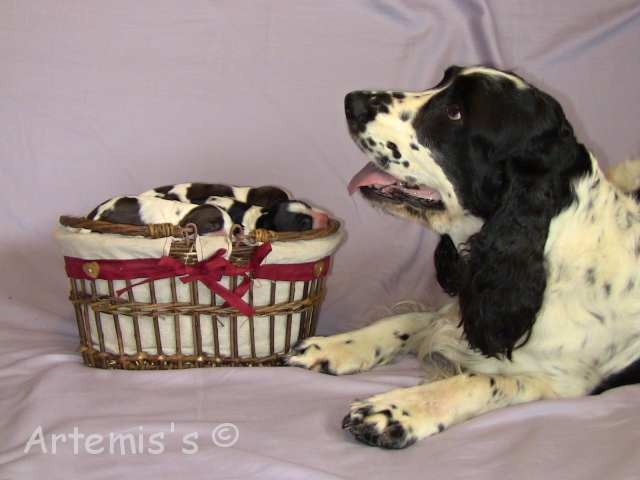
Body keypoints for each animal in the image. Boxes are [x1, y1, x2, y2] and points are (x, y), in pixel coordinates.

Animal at [288, 66, 640, 450]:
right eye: (441, 82)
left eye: (455, 113)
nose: (352, 101)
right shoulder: (464, 306)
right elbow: (408, 319)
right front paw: (335, 346)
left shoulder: (563, 383)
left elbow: (483, 381)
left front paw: (395, 411)